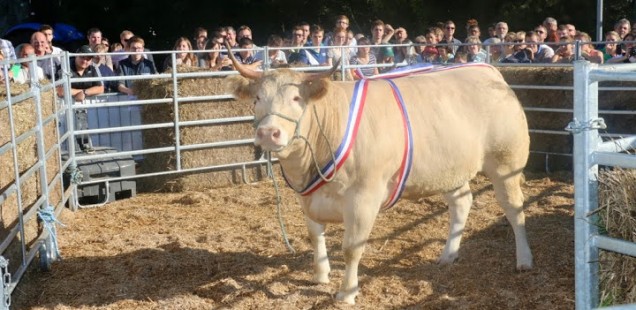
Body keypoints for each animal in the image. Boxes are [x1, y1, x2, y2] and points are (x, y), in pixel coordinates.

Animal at [224, 52, 532, 304]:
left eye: (296, 99)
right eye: (257, 99)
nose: (268, 133)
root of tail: (489, 72)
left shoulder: (363, 198)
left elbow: (351, 248)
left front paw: (347, 293)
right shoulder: (307, 195)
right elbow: (315, 236)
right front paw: (320, 275)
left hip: (506, 163)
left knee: (514, 209)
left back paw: (524, 260)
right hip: (450, 169)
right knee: (462, 203)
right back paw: (447, 255)